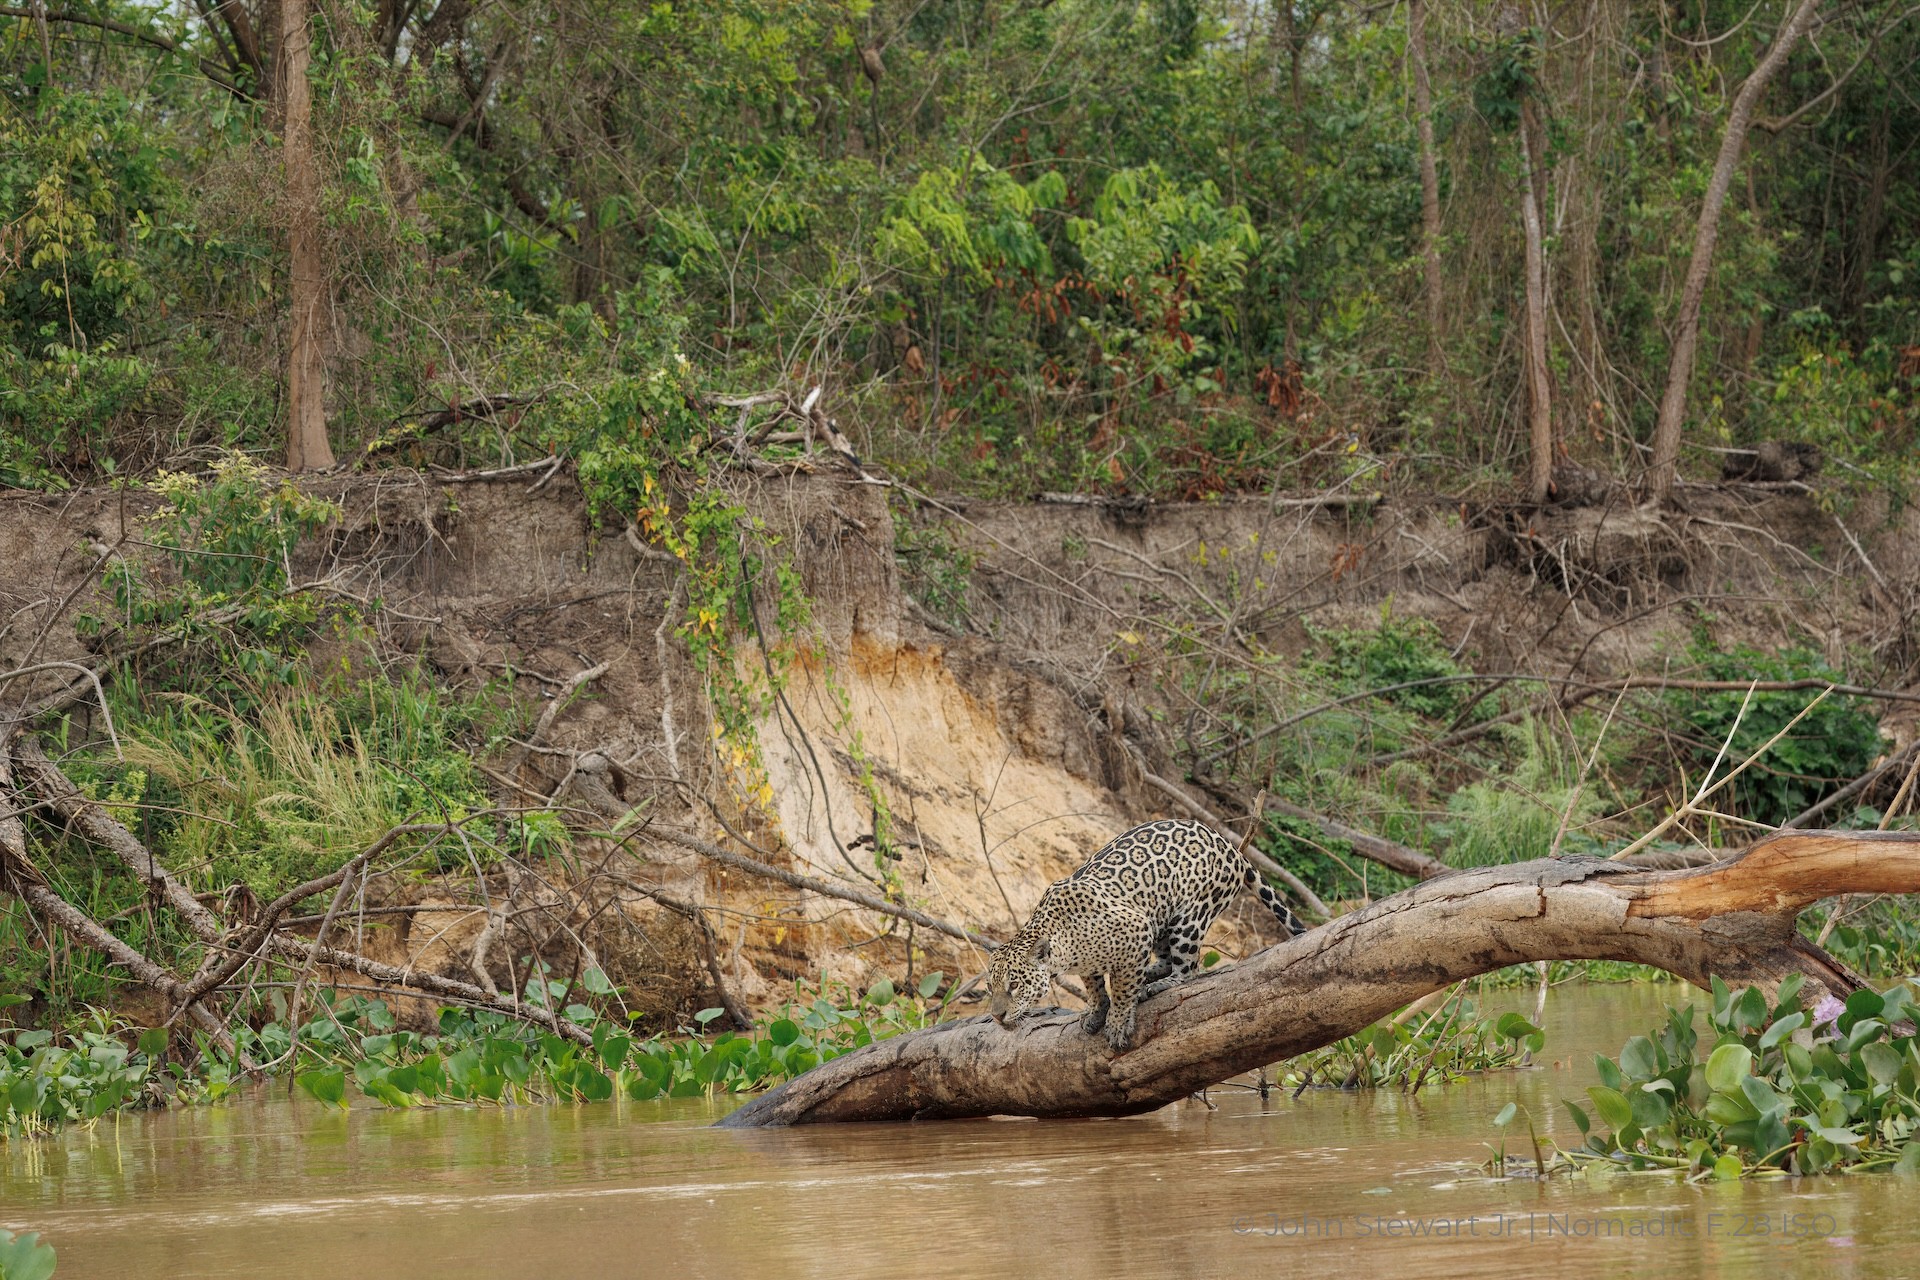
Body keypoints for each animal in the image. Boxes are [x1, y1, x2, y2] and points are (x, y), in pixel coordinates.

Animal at [985, 818, 1306, 1052]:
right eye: (990, 988)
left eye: (1014, 985)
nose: (997, 1017)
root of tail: (1230, 846)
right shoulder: (1096, 957)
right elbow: (1094, 985)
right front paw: (1096, 1010)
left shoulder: (1136, 928)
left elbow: (1122, 989)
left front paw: (1117, 1021)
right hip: (1162, 919)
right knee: (1164, 960)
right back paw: (1148, 975)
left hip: (1189, 918)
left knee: (1187, 970)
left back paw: (1155, 985)